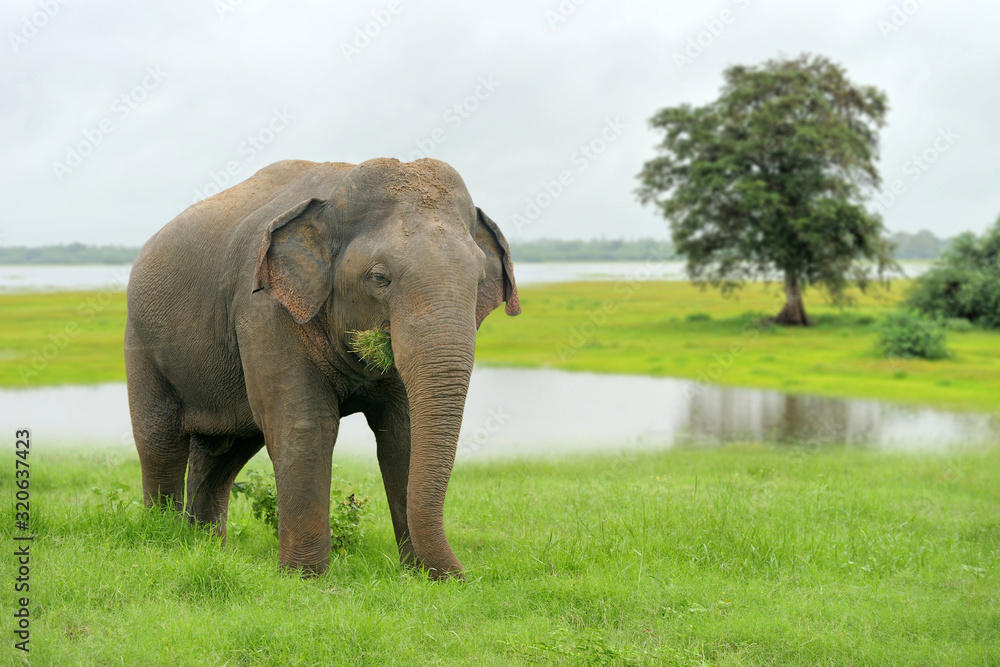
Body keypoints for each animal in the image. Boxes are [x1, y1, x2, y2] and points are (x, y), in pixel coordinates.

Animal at [124, 157, 519, 580]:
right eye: (379, 278)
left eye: (480, 280)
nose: (464, 578)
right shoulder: (264, 310)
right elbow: (305, 425)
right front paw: (305, 579)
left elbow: (403, 431)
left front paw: (417, 577)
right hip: (141, 340)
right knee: (160, 441)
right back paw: (165, 539)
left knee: (224, 452)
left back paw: (205, 546)